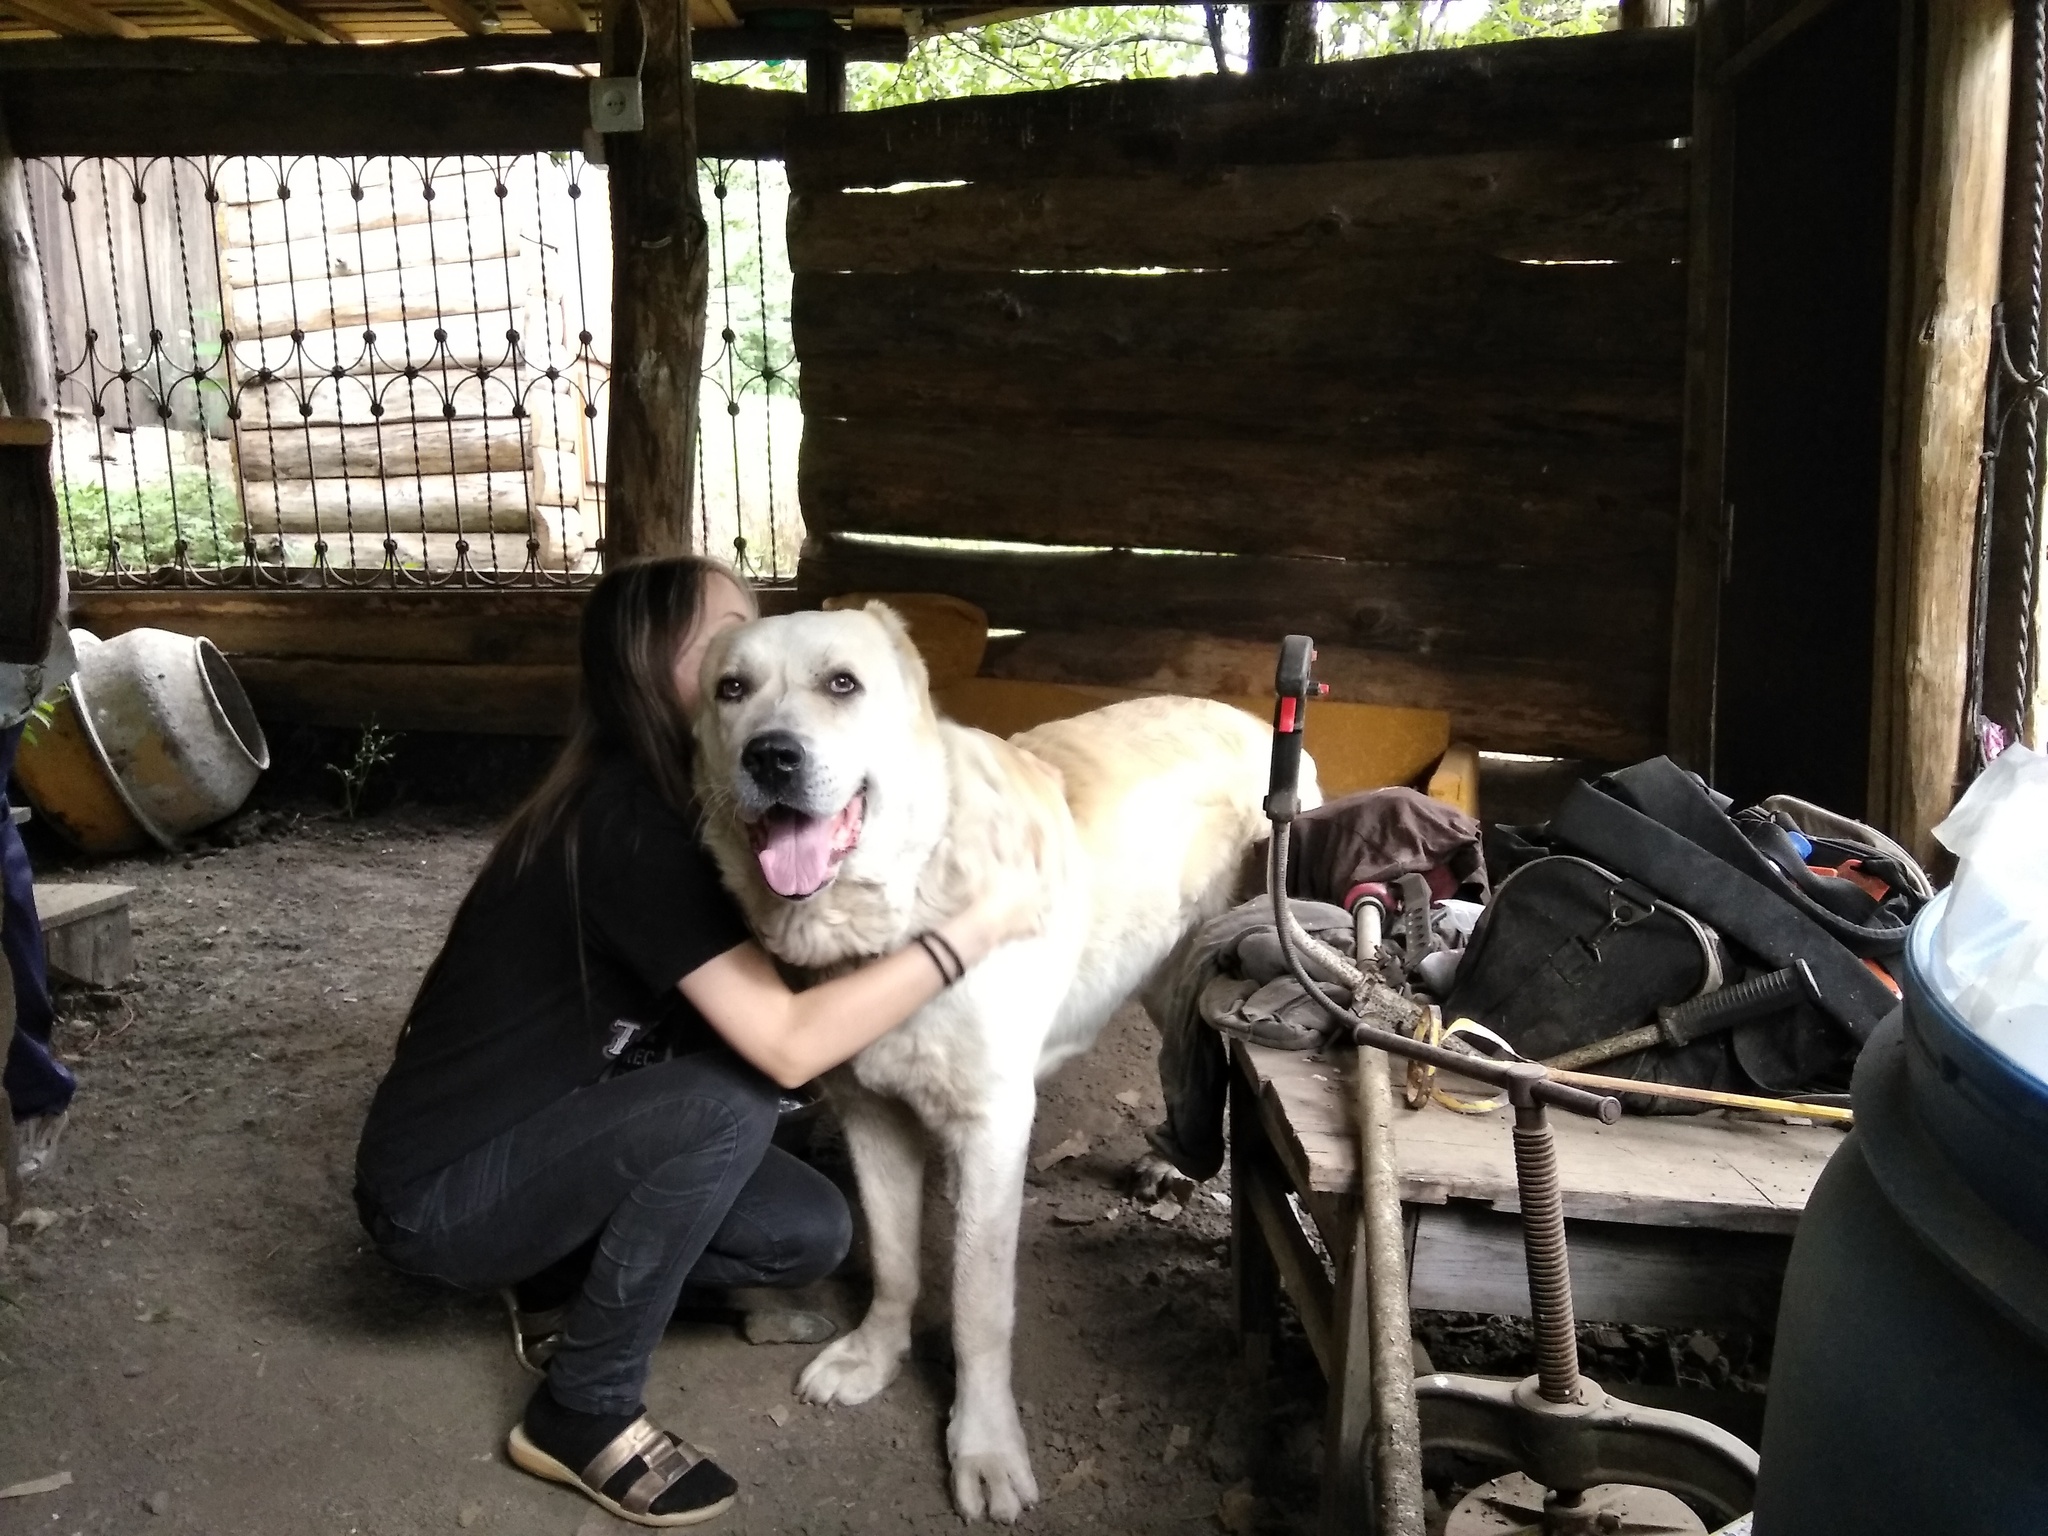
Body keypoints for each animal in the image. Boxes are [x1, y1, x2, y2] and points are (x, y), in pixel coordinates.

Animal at [696, 606, 1318, 1523]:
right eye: (731, 690)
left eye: (842, 683)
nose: (770, 756)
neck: (903, 908)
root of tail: (1251, 719)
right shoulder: (870, 1114)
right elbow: (895, 1262)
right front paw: (874, 1357)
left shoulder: (993, 1128)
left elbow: (979, 1308)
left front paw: (983, 1445)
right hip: (1163, 977)